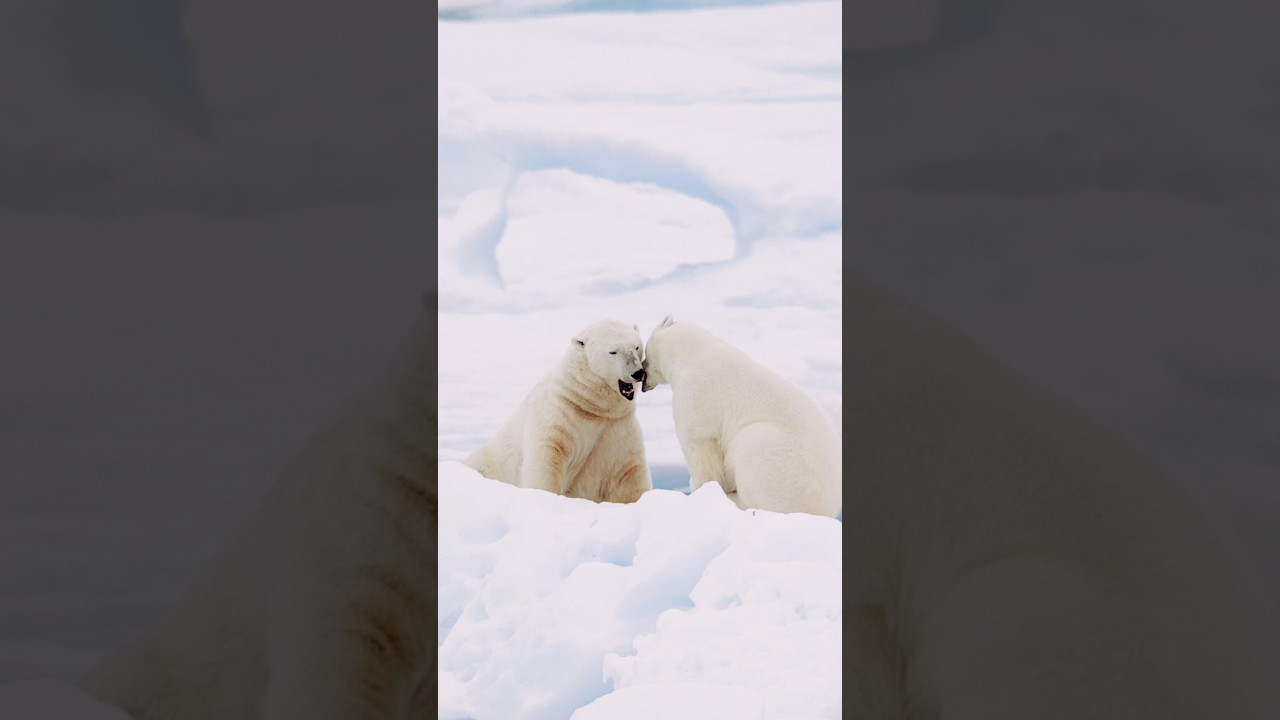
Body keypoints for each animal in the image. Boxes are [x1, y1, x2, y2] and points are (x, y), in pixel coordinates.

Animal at [464, 319, 652, 503]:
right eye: (613, 351)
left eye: (636, 346)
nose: (637, 373)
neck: (590, 404)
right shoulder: (559, 416)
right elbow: (547, 458)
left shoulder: (617, 430)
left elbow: (628, 473)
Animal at [640, 315, 841, 518]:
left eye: (644, 355)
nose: (642, 375)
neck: (690, 353)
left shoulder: (696, 395)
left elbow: (699, 446)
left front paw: (701, 490)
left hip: (779, 457)